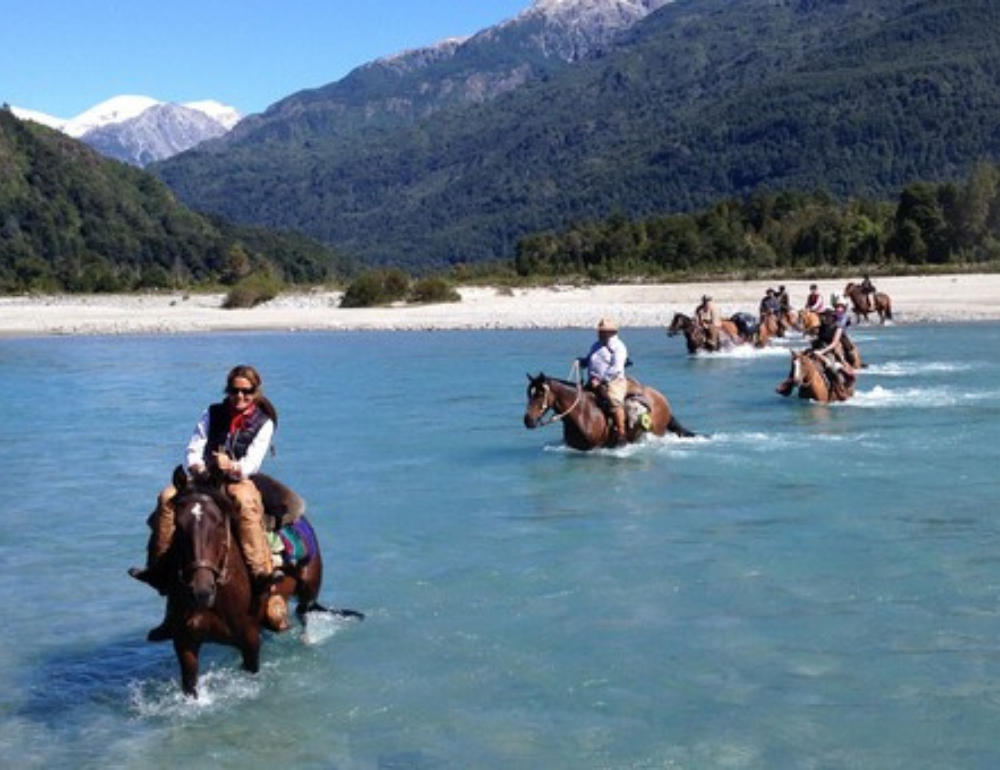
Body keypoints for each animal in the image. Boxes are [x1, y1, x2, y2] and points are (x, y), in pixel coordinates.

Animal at [153, 464, 364, 692]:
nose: (201, 591)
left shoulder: (250, 641)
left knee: (304, 616)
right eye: (177, 524)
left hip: (307, 594)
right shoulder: (184, 642)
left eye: (219, 524)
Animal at [524, 374, 696, 450]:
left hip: (657, 431)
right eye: (529, 393)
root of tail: (661, 398)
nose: (527, 420)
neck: (583, 414)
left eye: (540, 394)